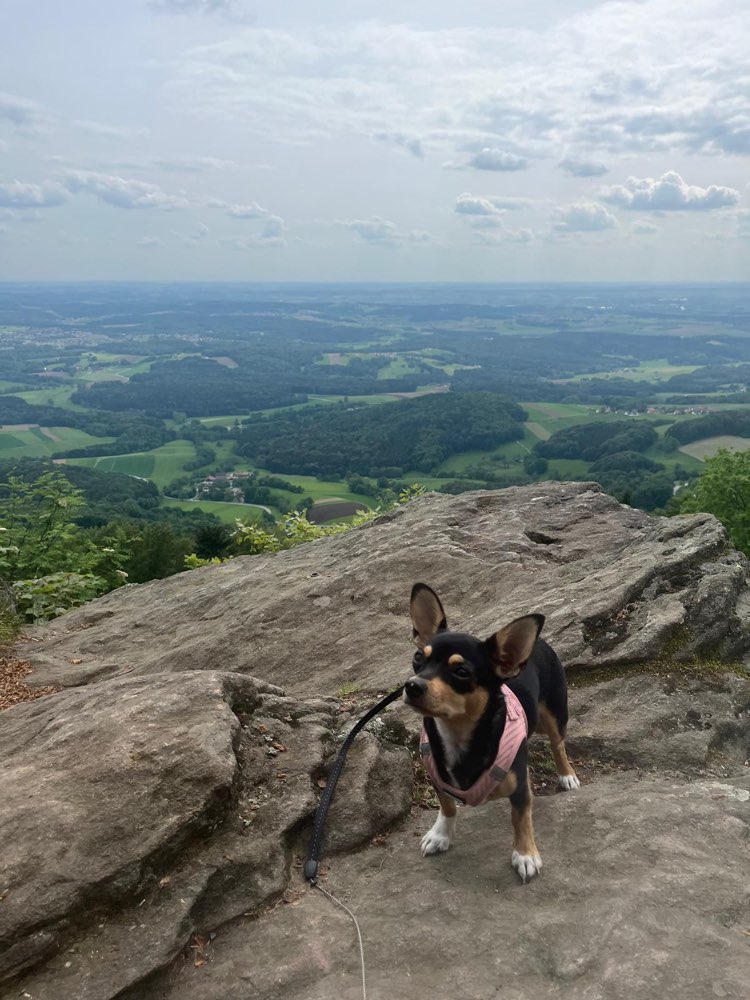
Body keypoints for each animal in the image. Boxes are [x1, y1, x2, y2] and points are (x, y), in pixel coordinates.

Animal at [406, 584, 580, 880]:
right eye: (419, 658)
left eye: (461, 671)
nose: (412, 685)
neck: (457, 733)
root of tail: (539, 643)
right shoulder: (436, 777)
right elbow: (447, 804)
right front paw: (441, 835)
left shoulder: (520, 789)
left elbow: (520, 818)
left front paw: (525, 854)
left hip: (554, 716)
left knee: (558, 744)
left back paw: (566, 775)